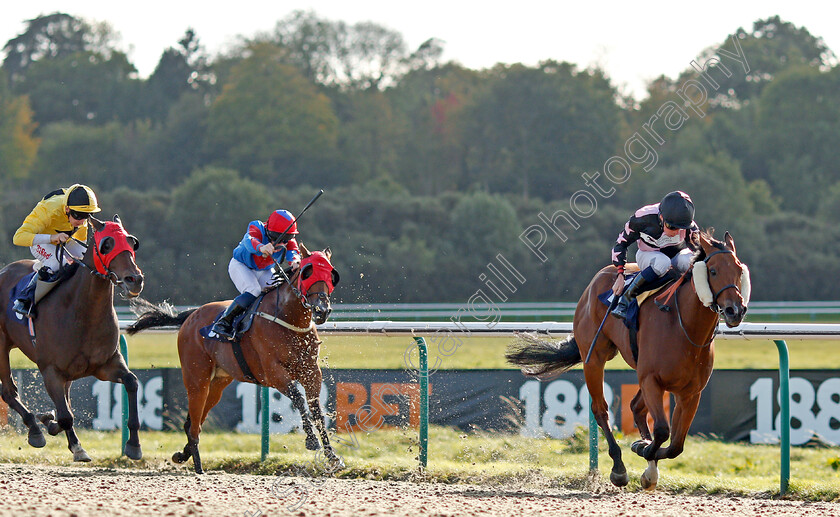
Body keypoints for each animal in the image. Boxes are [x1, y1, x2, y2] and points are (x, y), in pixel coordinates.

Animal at [0, 214, 144, 460]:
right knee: (9, 392)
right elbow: (66, 415)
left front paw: (133, 444)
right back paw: (35, 430)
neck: (83, 312)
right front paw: (76, 446)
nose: (134, 279)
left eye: (132, 242)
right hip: (1, 345)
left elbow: (132, 382)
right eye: (107, 245)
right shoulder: (51, 371)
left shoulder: (106, 364)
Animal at [125, 243, 342, 472]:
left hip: (218, 383)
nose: (322, 310)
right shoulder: (273, 372)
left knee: (194, 421)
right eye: (308, 273)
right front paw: (311, 440)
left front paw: (331, 455)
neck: (287, 318)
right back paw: (198, 465)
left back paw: (183, 455)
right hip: (196, 378)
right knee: (194, 421)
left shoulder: (311, 371)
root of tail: (191, 315)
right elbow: (298, 398)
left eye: (331, 274)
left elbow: (316, 409)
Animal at [508, 230, 752, 488]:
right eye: (713, 271)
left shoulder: (690, 392)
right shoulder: (651, 380)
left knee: (636, 407)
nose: (735, 310)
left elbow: (676, 445)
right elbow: (663, 431)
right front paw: (641, 448)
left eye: (739, 271)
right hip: (594, 358)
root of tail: (596, 280)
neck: (684, 326)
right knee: (601, 409)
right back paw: (619, 467)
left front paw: (646, 455)